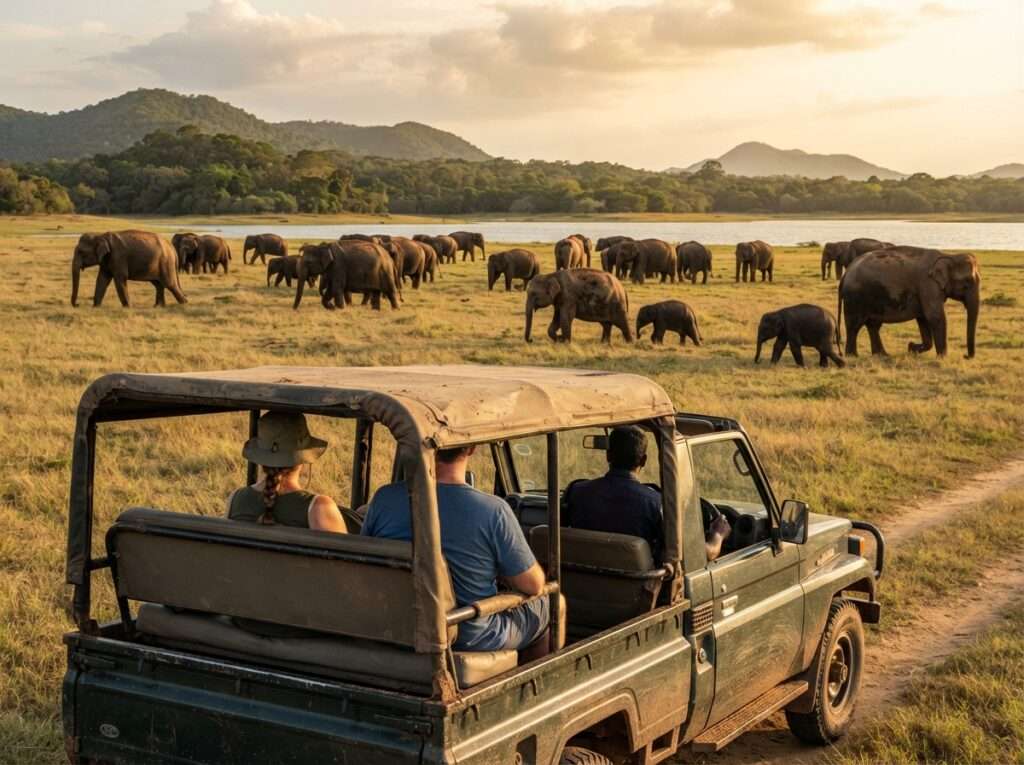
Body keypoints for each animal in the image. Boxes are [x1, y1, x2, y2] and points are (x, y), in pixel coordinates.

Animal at [838, 246, 980, 359]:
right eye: (967, 283)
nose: (965, 356)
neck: (948, 256)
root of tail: (846, 273)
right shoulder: (927, 285)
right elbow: (935, 317)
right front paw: (942, 357)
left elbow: (923, 318)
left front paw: (911, 348)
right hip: (855, 298)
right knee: (854, 325)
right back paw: (853, 356)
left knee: (873, 325)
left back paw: (882, 355)